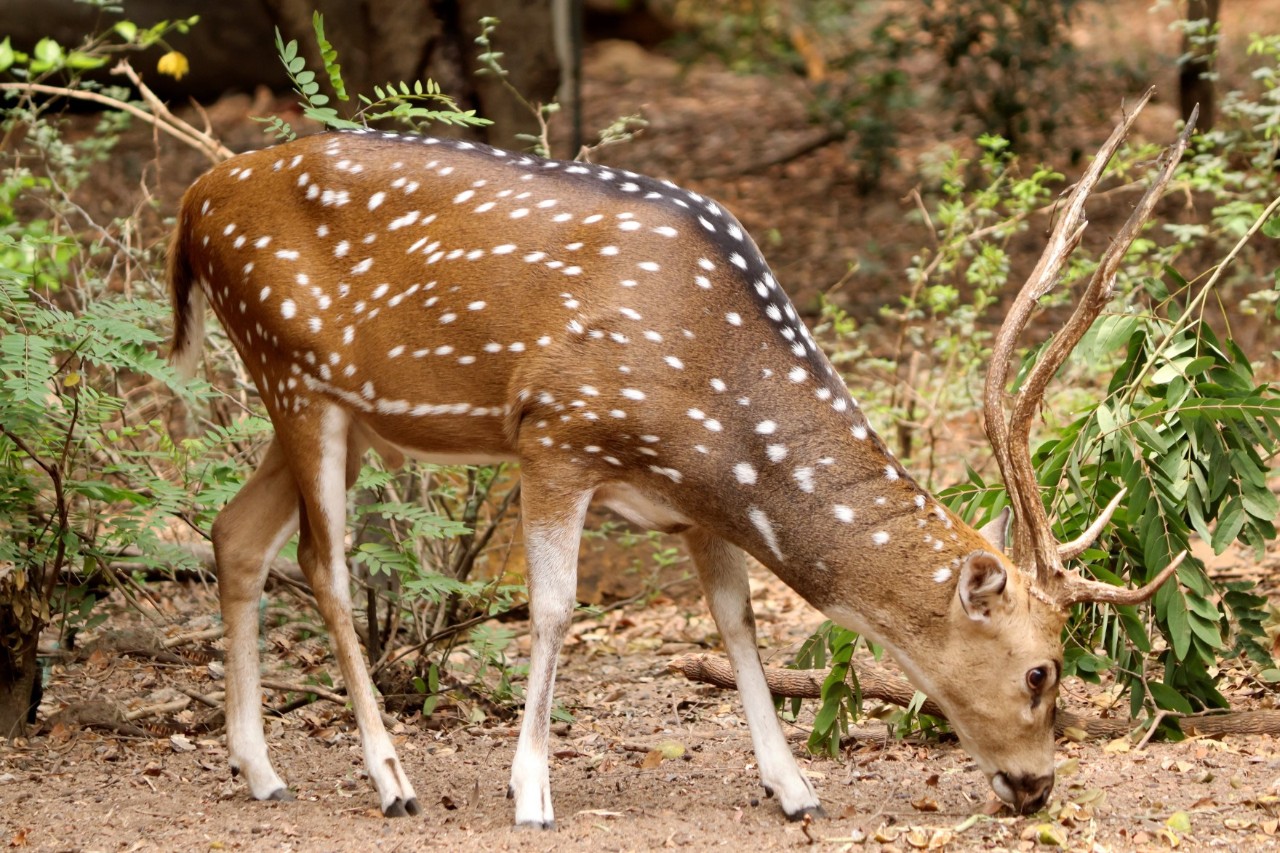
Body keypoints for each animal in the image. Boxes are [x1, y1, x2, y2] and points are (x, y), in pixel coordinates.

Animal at [170, 126, 1177, 824]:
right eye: (1042, 670)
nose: (1037, 786)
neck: (712, 411)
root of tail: (193, 202)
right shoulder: (555, 433)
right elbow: (555, 609)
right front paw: (530, 791)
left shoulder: (696, 505)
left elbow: (737, 624)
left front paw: (794, 787)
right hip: (293, 370)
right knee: (323, 563)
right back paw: (391, 779)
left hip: (330, 409)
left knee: (235, 532)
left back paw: (260, 770)